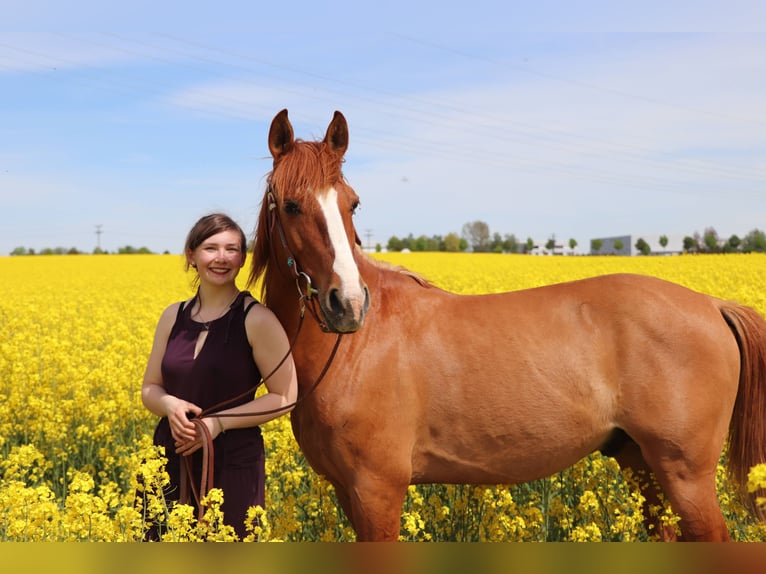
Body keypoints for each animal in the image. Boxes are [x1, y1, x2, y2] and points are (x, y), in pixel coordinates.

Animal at [248, 108, 766, 542]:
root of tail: (712, 305)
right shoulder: (347, 490)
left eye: (352, 204)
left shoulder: (377, 490)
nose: (349, 304)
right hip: (642, 465)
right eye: (290, 205)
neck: (356, 350)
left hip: (685, 475)